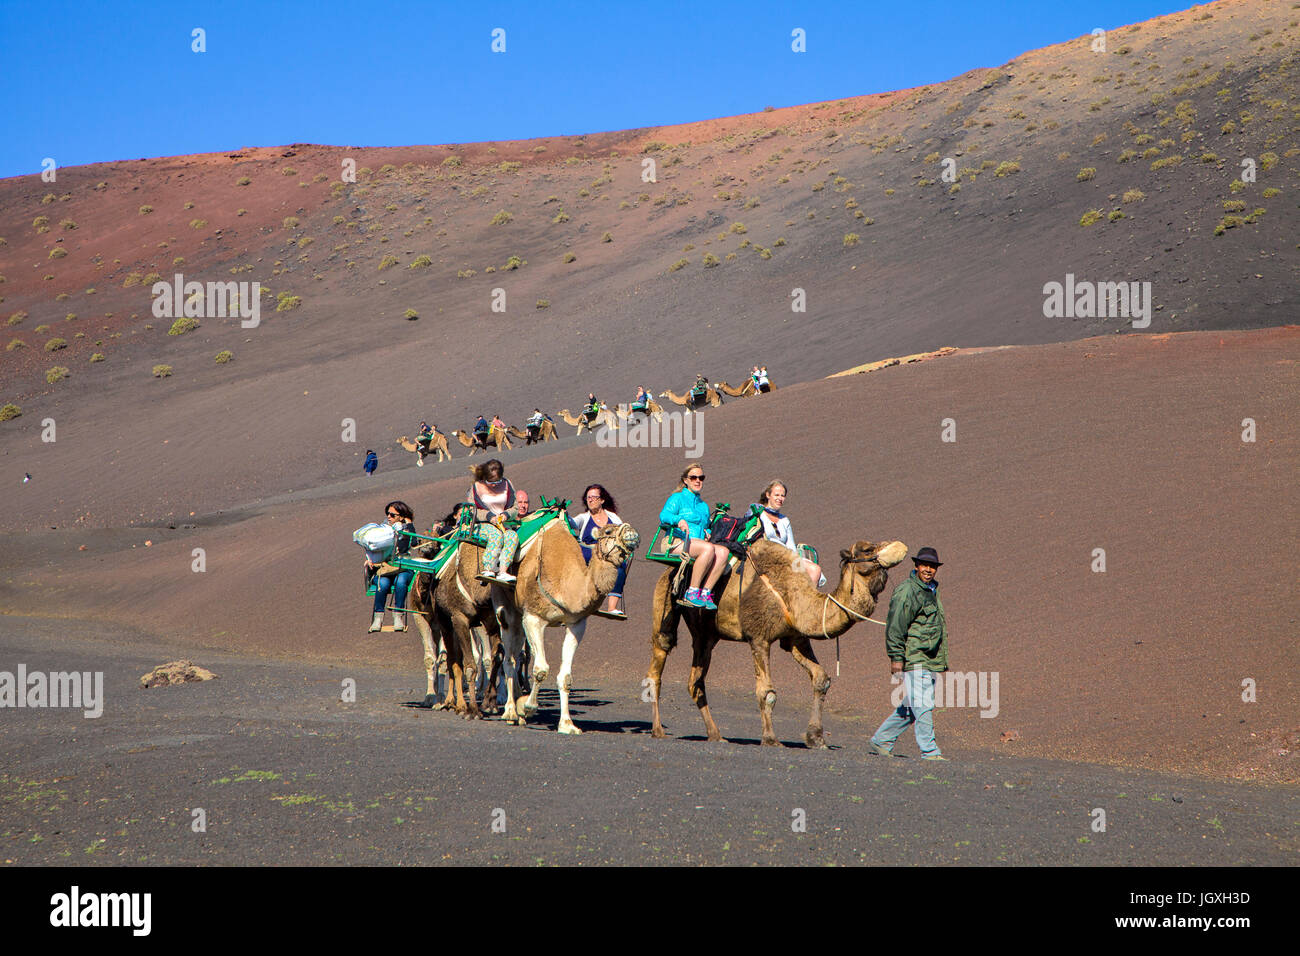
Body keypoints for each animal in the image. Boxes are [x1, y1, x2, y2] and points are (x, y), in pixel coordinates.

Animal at [491, 520, 639, 738]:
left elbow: (566, 677)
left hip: (519, 615)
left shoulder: (576, 624)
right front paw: (527, 707)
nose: (632, 534)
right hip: (505, 604)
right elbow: (541, 669)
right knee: (509, 657)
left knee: (516, 654)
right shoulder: (534, 617)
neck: (566, 584)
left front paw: (567, 724)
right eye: (608, 531)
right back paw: (510, 711)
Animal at [644, 538, 909, 749]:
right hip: (664, 604)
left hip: (706, 634)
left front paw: (816, 738)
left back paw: (716, 734)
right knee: (657, 665)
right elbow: (767, 692)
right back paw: (658, 731)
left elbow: (821, 679)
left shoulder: (795, 638)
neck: (792, 594)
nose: (901, 547)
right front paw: (771, 739)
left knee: (695, 681)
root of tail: (669, 570)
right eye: (867, 548)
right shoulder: (758, 638)